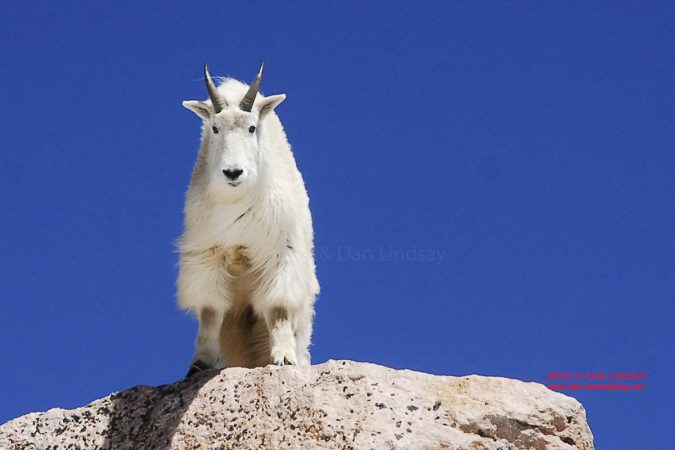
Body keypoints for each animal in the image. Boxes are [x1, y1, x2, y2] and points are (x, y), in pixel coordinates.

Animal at [178, 62, 319, 376]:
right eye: (215, 128)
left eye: (252, 127)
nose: (233, 172)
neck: (236, 201)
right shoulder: (208, 255)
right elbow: (210, 312)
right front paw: (198, 364)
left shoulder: (279, 253)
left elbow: (278, 310)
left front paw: (283, 357)